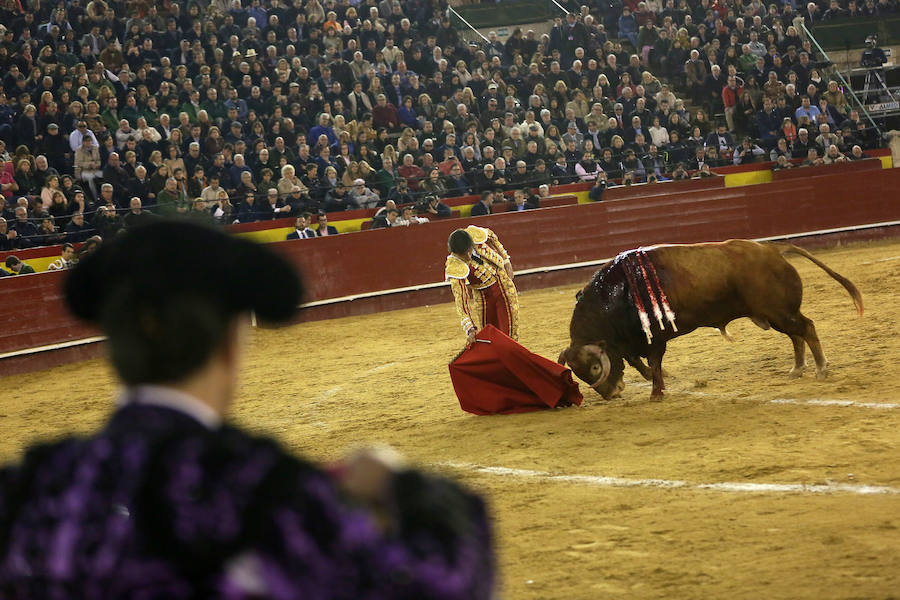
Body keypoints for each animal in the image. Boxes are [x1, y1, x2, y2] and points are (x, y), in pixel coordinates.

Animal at [560, 239, 860, 398]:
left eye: (595, 368)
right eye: (580, 374)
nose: (611, 394)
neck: (617, 293)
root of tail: (773, 250)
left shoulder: (654, 338)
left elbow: (654, 363)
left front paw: (657, 392)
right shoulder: (630, 340)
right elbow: (637, 361)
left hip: (780, 312)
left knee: (806, 328)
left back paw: (821, 369)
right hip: (775, 314)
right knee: (796, 336)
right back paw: (797, 369)